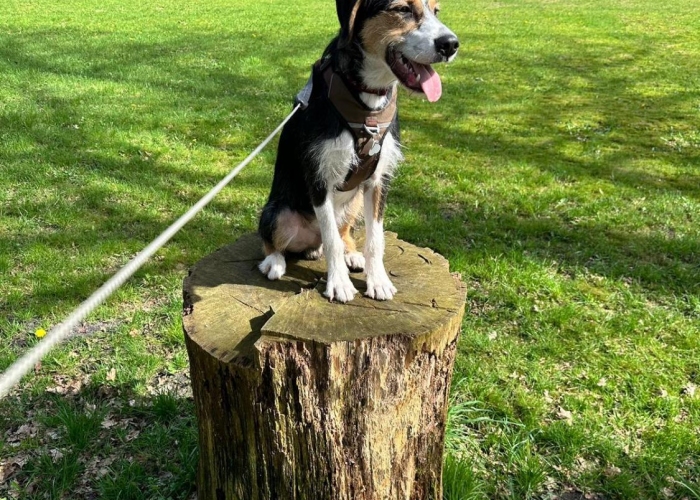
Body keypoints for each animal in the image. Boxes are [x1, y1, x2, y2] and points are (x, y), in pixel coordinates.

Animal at [258, 0, 460, 302]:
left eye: (436, 11)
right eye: (402, 9)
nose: (451, 44)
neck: (367, 101)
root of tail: (311, 241)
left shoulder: (377, 181)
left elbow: (375, 238)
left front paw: (378, 281)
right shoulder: (319, 179)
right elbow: (330, 239)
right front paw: (339, 283)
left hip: (352, 203)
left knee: (343, 232)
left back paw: (350, 253)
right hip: (277, 212)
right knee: (275, 239)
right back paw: (275, 262)